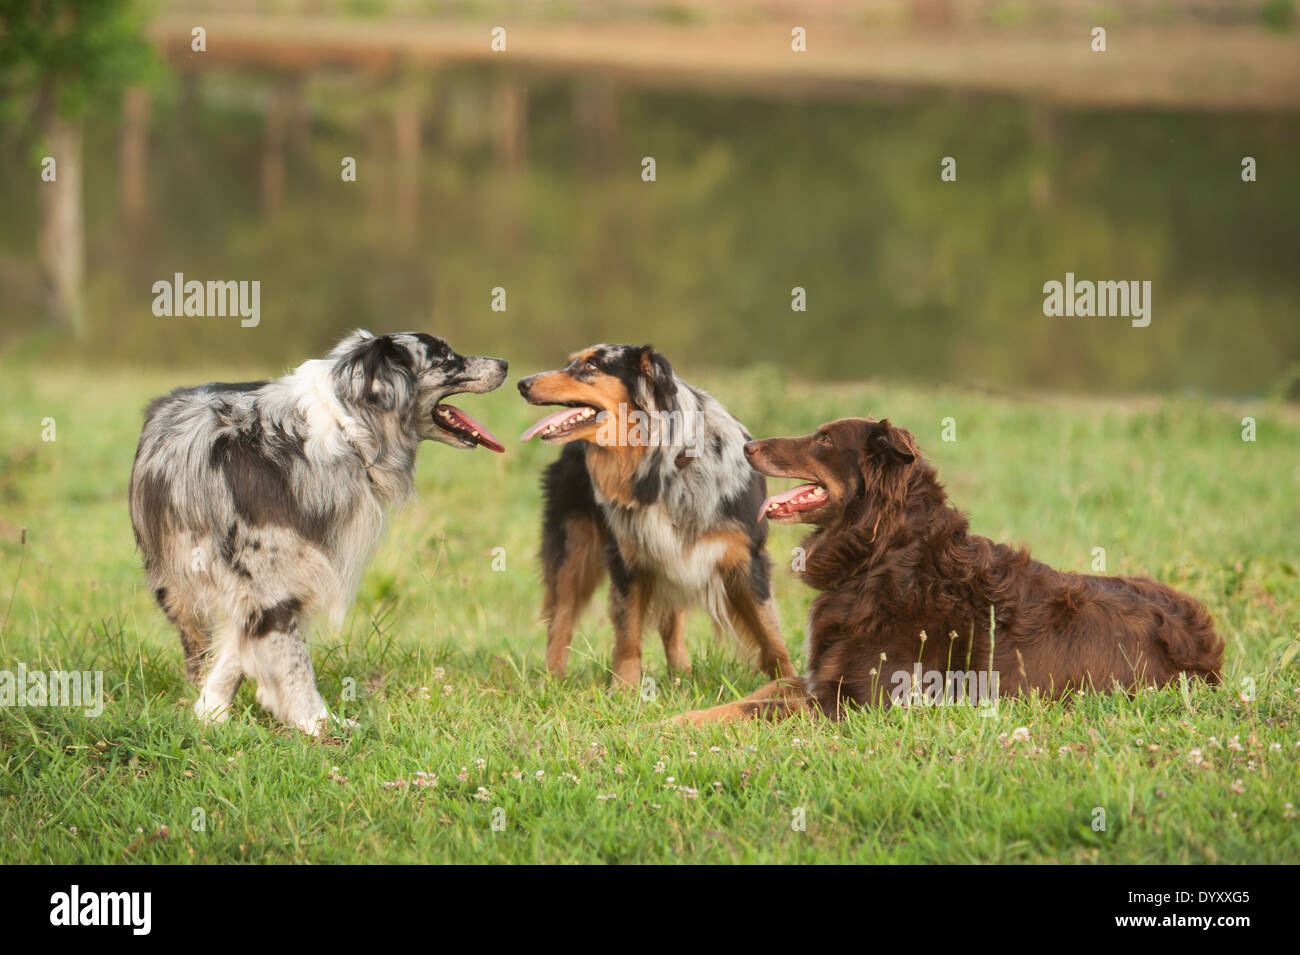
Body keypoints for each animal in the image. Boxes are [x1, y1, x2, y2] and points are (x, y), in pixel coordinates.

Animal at [125, 332, 501, 738]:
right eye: (445, 356)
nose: (506, 364)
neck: (345, 431)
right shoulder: (270, 576)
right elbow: (293, 660)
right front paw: (317, 723)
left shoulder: (277, 577)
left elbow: (241, 647)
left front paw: (212, 711)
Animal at [514, 343, 790, 686]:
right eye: (570, 363)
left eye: (590, 366)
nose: (522, 383)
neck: (668, 466)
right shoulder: (628, 558)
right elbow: (628, 632)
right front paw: (624, 688)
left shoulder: (746, 558)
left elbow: (770, 632)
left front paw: (791, 684)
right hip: (574, 547)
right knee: (561, 618)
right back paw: (552, 680)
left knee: (671, 623)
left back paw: (680, 674)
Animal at [676, 415, 1222, 722]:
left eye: (825, 440)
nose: (747, 446)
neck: (881, 554)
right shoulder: (818, 681)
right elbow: (756, 693)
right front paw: (670, 716)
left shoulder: (857, 702)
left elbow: (751, 709)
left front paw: (664, 729)